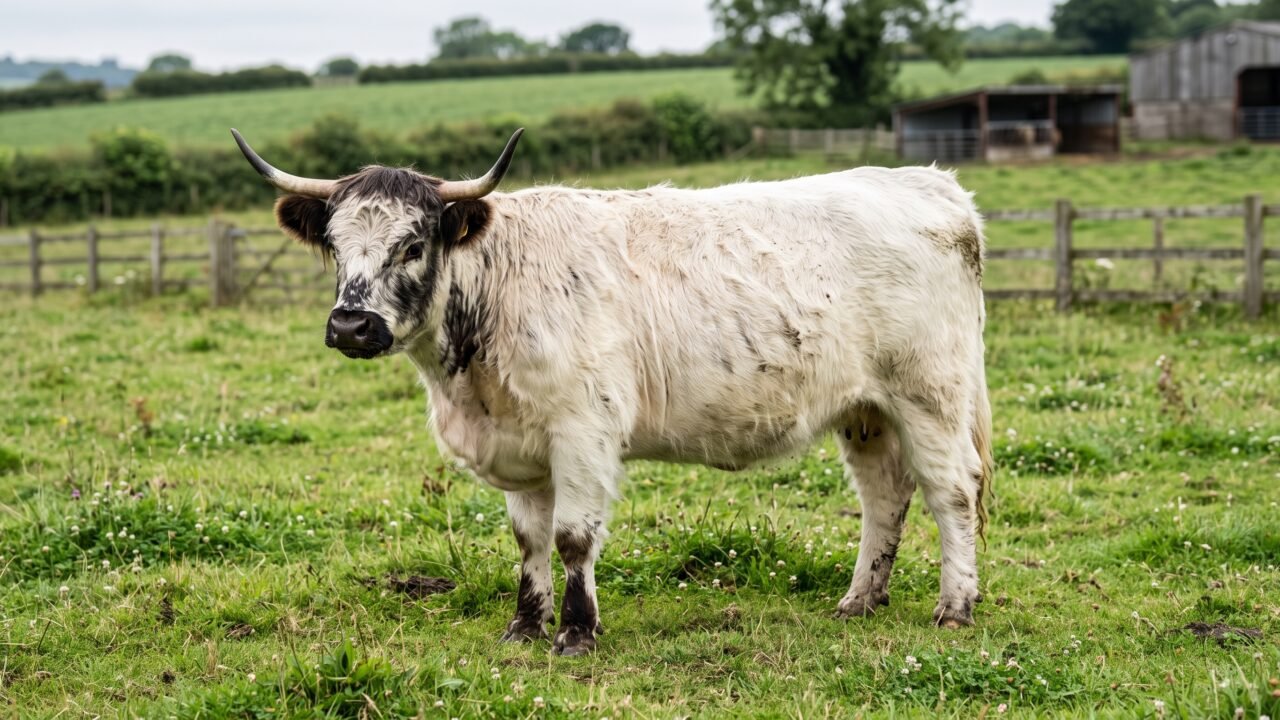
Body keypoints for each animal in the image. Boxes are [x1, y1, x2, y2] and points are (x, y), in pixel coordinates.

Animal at [232, 127, 993, 656]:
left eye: (413, 245)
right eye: (334, 245)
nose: (351, 325)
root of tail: (932, 186)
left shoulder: (582, 432)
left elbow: (573, 538)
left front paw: (575, 632)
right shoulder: (521, 443)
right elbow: (529, 541)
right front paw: (524, 626)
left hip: (930, 394)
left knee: (951, 490)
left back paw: (955, 606)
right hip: (866, 410)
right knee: (884, 496)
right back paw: (860, 599)